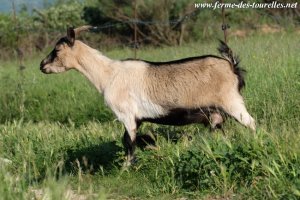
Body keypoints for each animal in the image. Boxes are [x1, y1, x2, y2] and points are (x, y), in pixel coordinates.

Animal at [39, 25, 255, 166]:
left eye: (57, 49)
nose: (42, 66)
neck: (109, 74)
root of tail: (232, 66)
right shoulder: (136, 118)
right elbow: (130, 140)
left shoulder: (126, 115)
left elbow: (129, 142)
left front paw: (127, 167)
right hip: (216, 113)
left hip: (232, 102)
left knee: (251, 123)